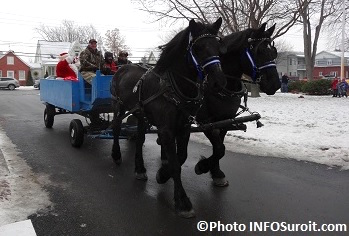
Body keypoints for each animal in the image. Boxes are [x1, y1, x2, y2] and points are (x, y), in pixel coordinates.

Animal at [110, 18, 227, 218]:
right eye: (198, 48)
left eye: (218, 47)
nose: (218, 82)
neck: (174, 88)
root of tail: (123, 67)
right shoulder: (166, 130)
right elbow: (175, 163)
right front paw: (182, 201)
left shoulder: (184, 127)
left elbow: (181, 157)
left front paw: (163, 175)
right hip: (120, 105)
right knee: (116, 126)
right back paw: (116, 154)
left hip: (141, 115)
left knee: (139, 139)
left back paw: (140, 169)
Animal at [193, 23, 280, 186]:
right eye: (259, 51)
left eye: (273, 52)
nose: (276, 84)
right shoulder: (205, 121)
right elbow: (219, 148)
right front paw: (202, 166)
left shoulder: (225, 121)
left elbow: (219, 148)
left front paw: (216, 173)